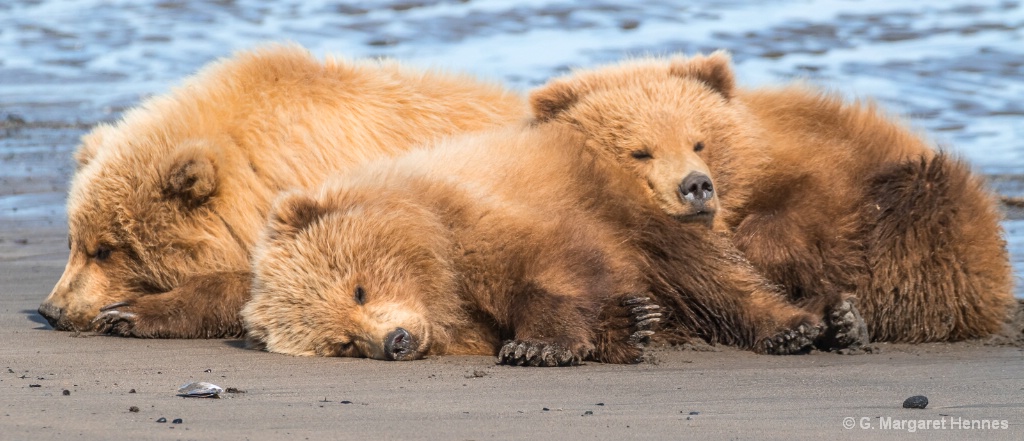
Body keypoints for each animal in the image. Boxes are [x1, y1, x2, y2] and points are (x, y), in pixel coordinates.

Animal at [241, 124, 856, 366]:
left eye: (359, 289)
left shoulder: (482, 219)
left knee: (708, 275)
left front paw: (538, 345)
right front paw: (626, 326)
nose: (395, 341)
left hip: (642, 212)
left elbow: (549, 266)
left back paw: (807, 326)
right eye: (344, 342)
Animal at [528, 50, 1015, 341]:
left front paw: (758, 252)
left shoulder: (814, 162)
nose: (696, 186)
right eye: (640, 152)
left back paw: (848, 319)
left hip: (942, 214)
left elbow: (814, 207)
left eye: (699, 142)